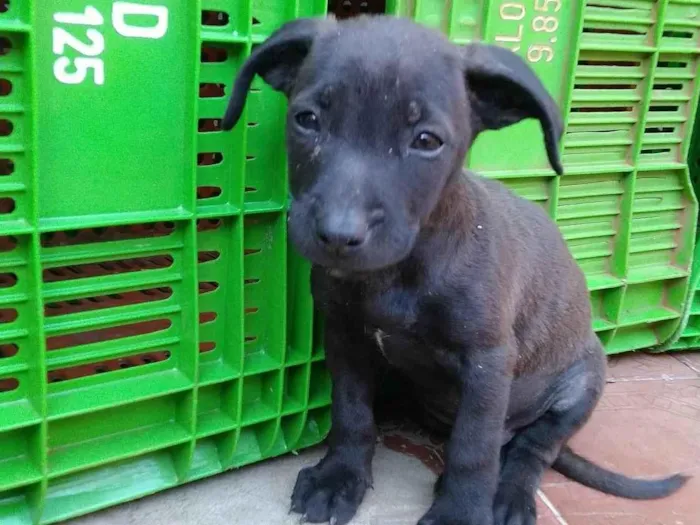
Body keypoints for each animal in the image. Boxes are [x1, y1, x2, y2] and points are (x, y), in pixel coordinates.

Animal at [226, 14, 688, 520]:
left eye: (427, 141)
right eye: (307, 120)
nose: (338, 234)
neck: (396, 274)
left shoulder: (487, 361)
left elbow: (474, 447)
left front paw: (461, 512)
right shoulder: (345, 336)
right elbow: (351, 413)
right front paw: (339, 477)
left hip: (583, 380)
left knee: (531, 448)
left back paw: (508, 495)